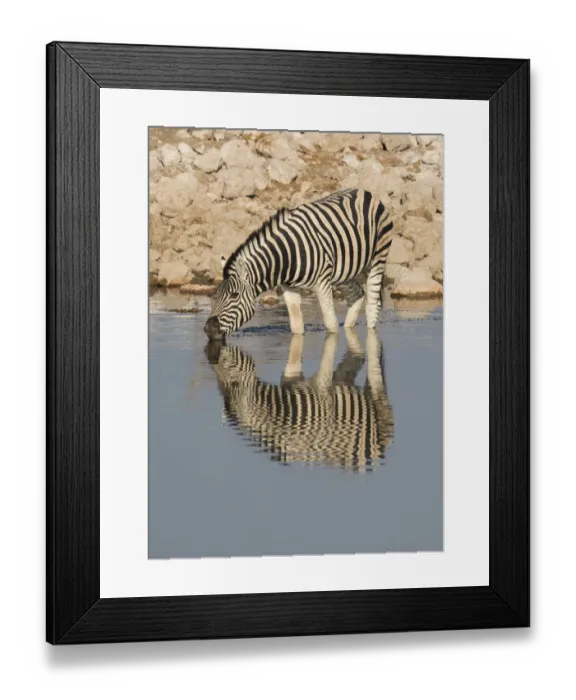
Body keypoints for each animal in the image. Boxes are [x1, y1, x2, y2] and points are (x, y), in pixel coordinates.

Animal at [204, 188, 394, 340]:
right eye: (216, 295)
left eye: (234, 295)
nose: (208, 329)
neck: (285, 258)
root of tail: (364, 192)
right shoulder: (289, 289)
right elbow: (296, 327)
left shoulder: (322, 283)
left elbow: (331, 324)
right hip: (344, 271)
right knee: (357, 296)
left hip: (378, 259)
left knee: (372, 306)